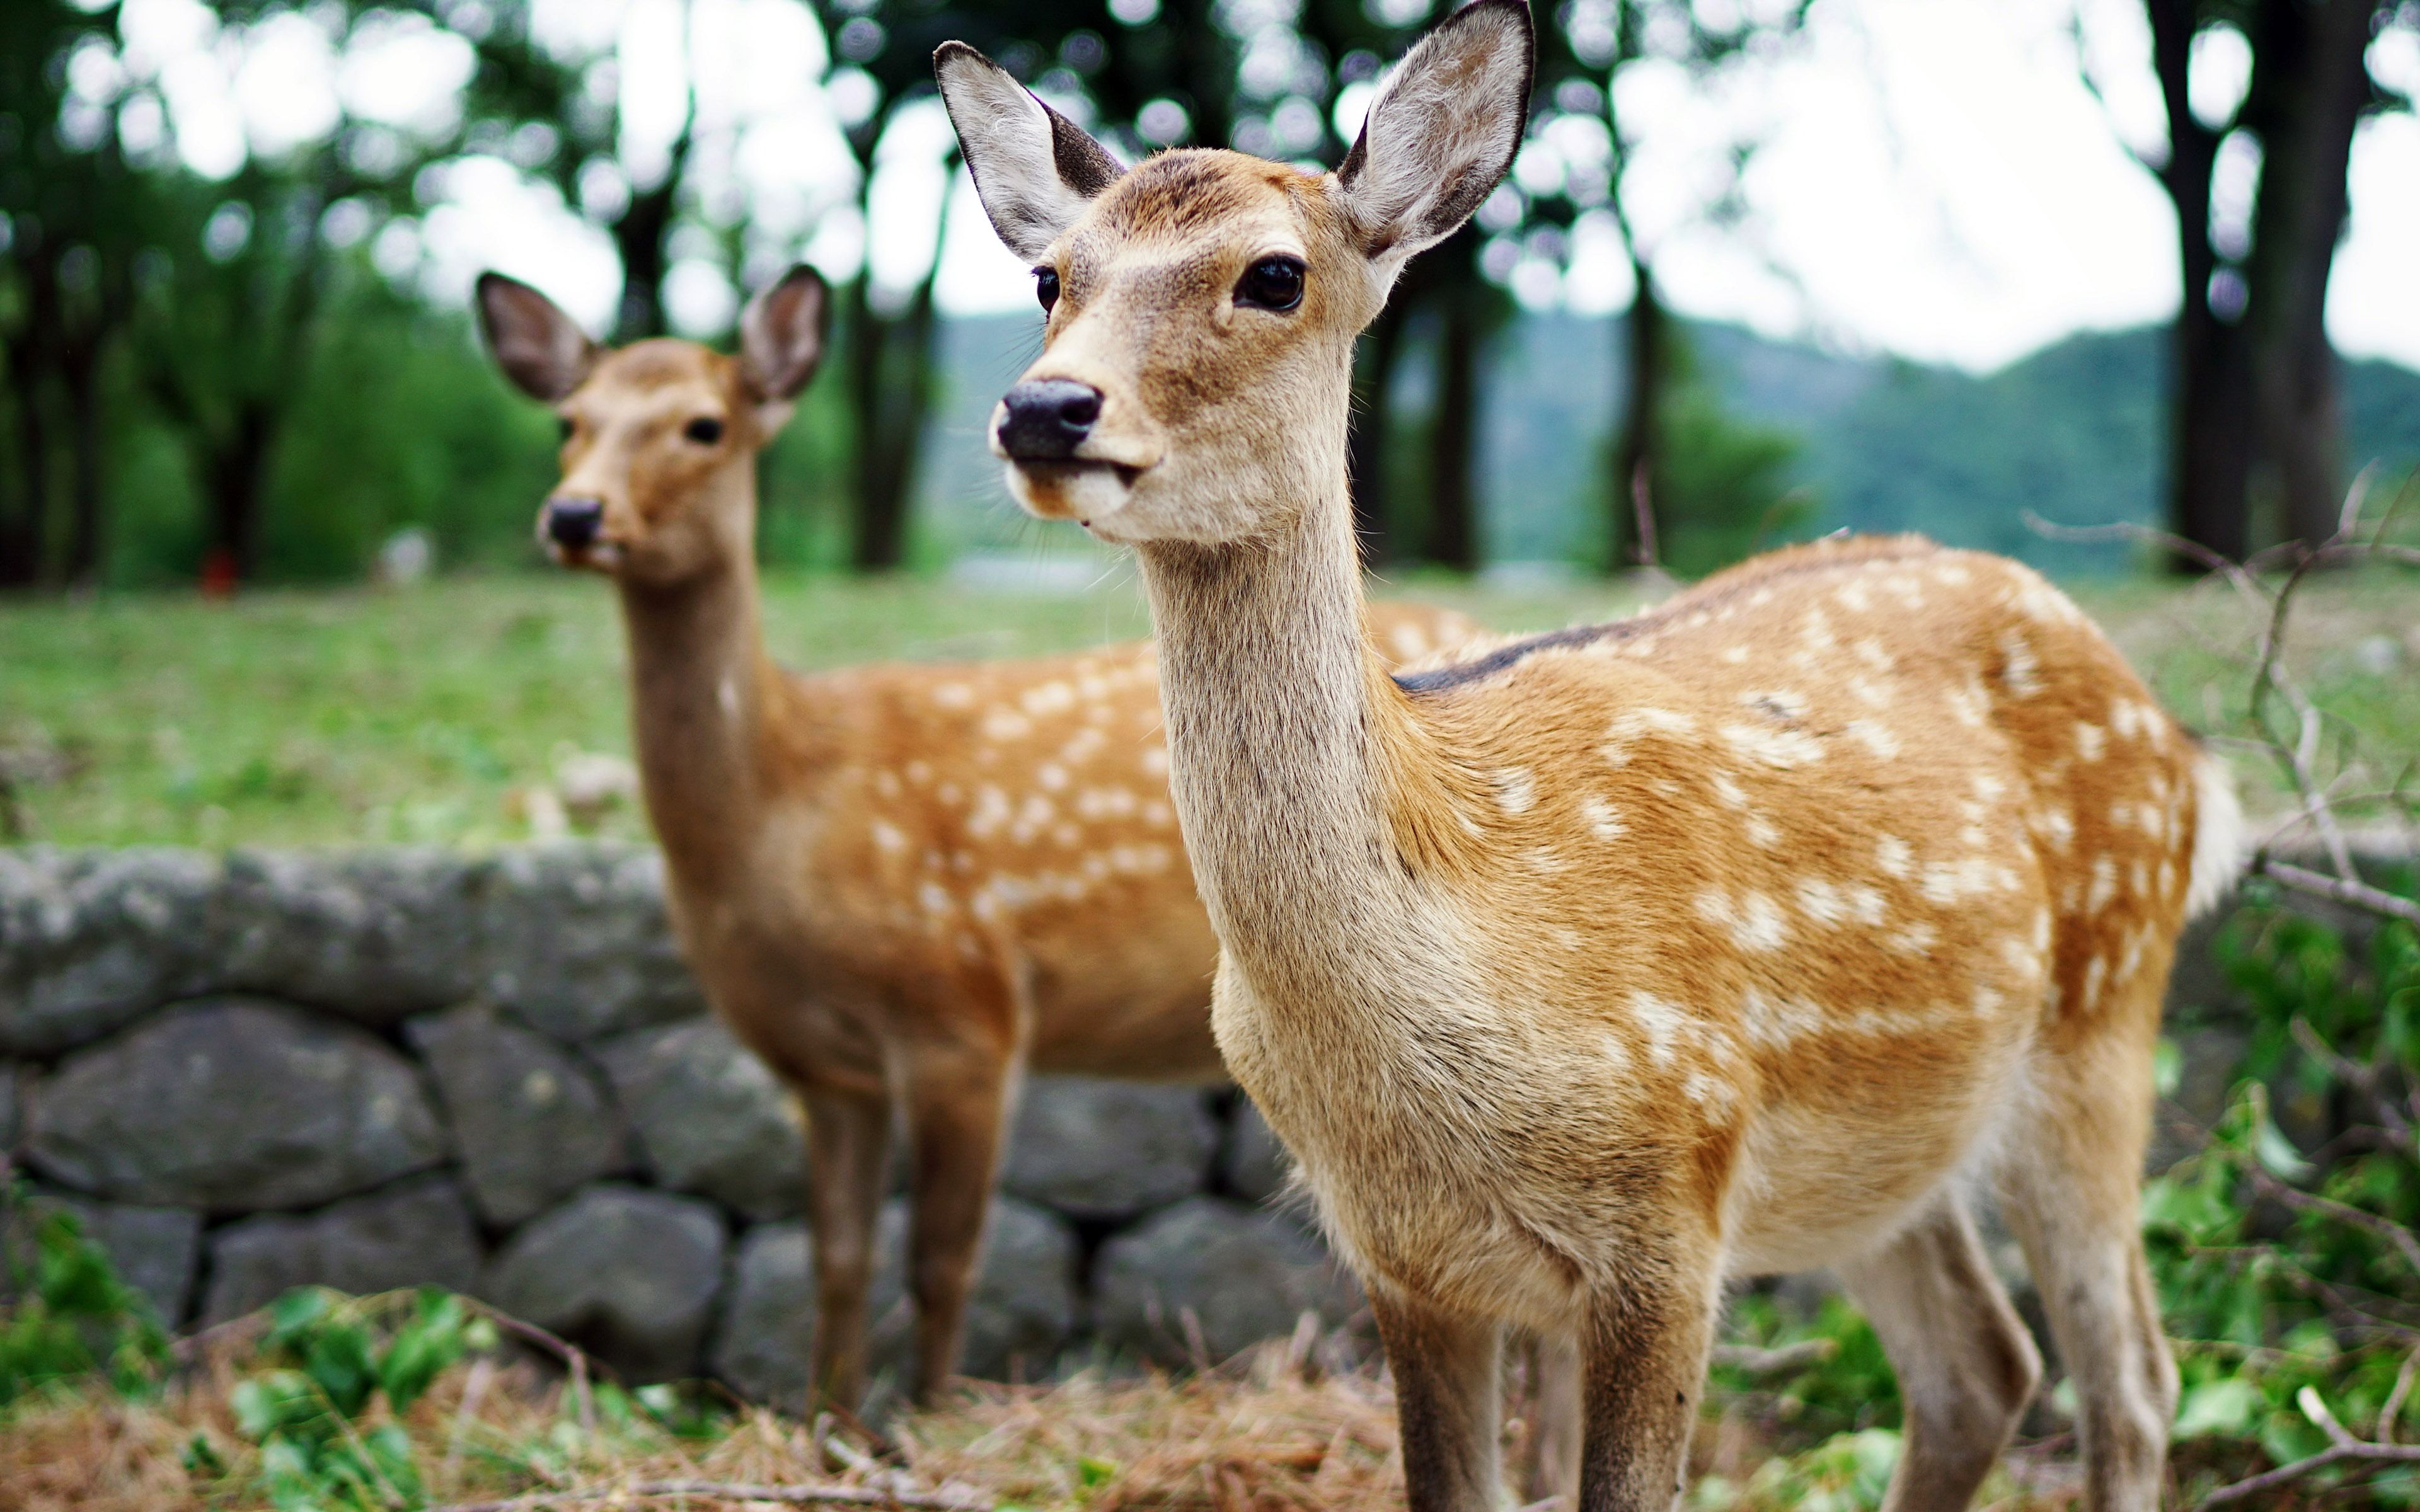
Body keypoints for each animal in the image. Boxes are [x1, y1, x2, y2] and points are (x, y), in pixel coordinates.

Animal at [473, 267, 1475, 1411]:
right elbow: (836, 1257)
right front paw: (829, 1425)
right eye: (569, 421)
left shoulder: (965, 1008)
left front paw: (926, 1420)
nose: (574, 513)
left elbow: (945, 1259)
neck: (783, 810)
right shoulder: (823, 1067)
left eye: (704, 425)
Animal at [938, 3, 2245, 1507]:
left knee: (2132, 1380)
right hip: (1881, 1153)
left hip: (2100, 1025)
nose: (1046, 408)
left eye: (1273, 274)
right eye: (1051, 275)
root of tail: (2187, 755)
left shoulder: (1671, 1198)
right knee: (1982, 1367)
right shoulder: (1399, 1253)